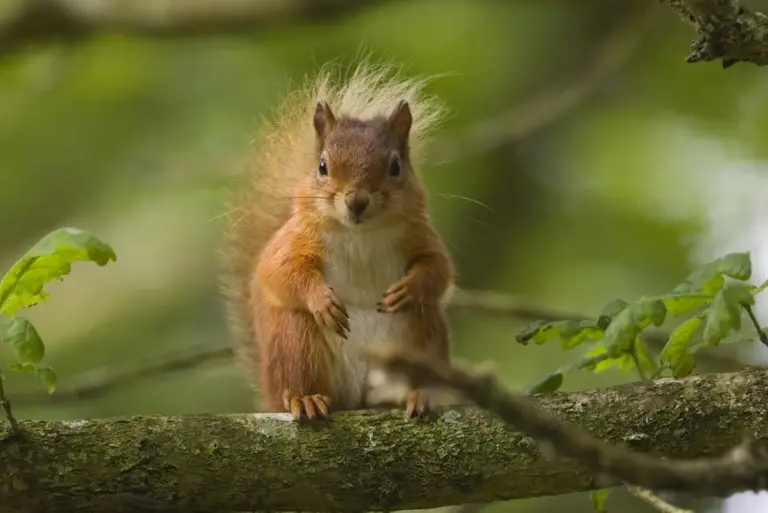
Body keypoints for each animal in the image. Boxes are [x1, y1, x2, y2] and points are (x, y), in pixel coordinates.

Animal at [221, 62, 455, 421]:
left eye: (395, 166)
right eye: (322, 166)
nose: (356, 201)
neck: (360, 234)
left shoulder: (420, 235)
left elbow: (439, 268)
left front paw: (410, 288)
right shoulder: (294, 240)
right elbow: (278, 270)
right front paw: (322, 300)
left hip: (422, 331)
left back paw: (419, 395)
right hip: (296, 341)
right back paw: (305, 399)